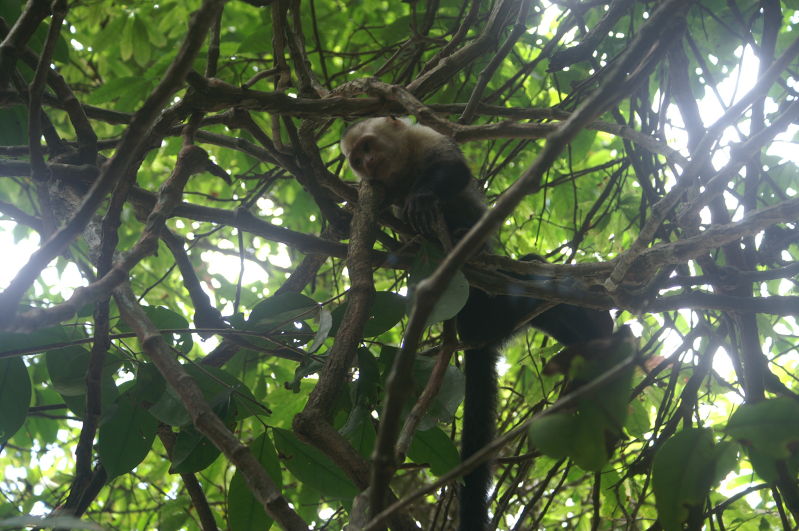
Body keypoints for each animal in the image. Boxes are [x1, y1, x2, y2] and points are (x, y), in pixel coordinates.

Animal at [341, 117, 613, 531]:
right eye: (357, 159)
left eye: (369, 148)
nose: (368, 164)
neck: (402, 169)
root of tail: (470, 333)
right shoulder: (377, 188)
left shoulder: (424, 139)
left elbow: (454, 171)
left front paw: (423, 197)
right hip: (495, 315)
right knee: (533, 288)